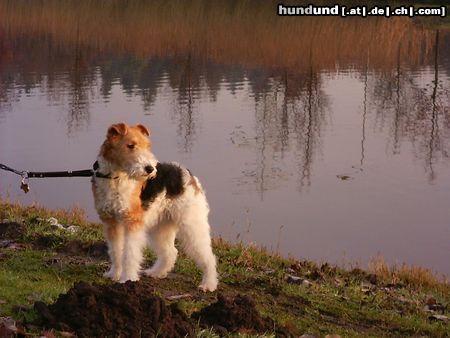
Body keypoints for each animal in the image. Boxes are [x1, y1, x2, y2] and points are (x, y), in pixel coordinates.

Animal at [91, 123, 218, 292]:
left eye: (147, 146)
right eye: (130, 145)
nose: (150, 169)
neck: (115, 177)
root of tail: (186, 173)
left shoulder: (132, 222)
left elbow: (130, 254)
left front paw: (128, 279)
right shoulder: (111, 222)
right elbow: (116, 251)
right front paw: (114, 274)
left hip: (192, 225)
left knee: (209, 257)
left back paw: (208, 284)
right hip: (161, 226)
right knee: (171, 252)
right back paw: (156, 272)